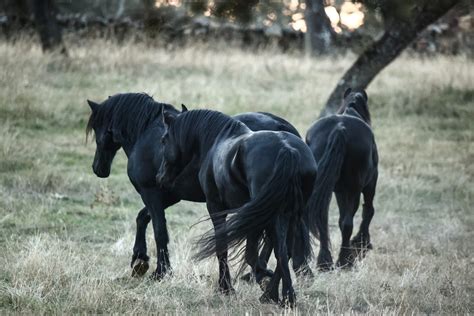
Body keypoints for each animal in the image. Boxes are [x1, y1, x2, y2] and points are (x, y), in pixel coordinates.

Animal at [84, 93, 300, 278]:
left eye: (96, 128)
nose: (98, 168)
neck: (145, 134)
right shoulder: (169, 195)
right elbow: (143, 218)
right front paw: (140, 259)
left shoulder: (151, 193)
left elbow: (159, 230)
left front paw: (160, 271)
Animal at [157, 109, 316, 306]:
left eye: (164, 140)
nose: (160, 177)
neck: (218, 140)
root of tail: (288, 150)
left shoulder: (216, 207)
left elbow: (223, 247)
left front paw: (227, 287)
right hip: (291, 214)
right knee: (284, 251)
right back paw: (281, 296)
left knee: (271, 252)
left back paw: (272, 292)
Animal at [306, 89, 380, 270]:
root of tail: (340, 129)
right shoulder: (370, 184)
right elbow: (368, 210)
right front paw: (361, 244)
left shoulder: (339, 191)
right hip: (354, 188)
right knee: (348, 222)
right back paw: (344, 261)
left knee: (322, 219)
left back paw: (324, 262)